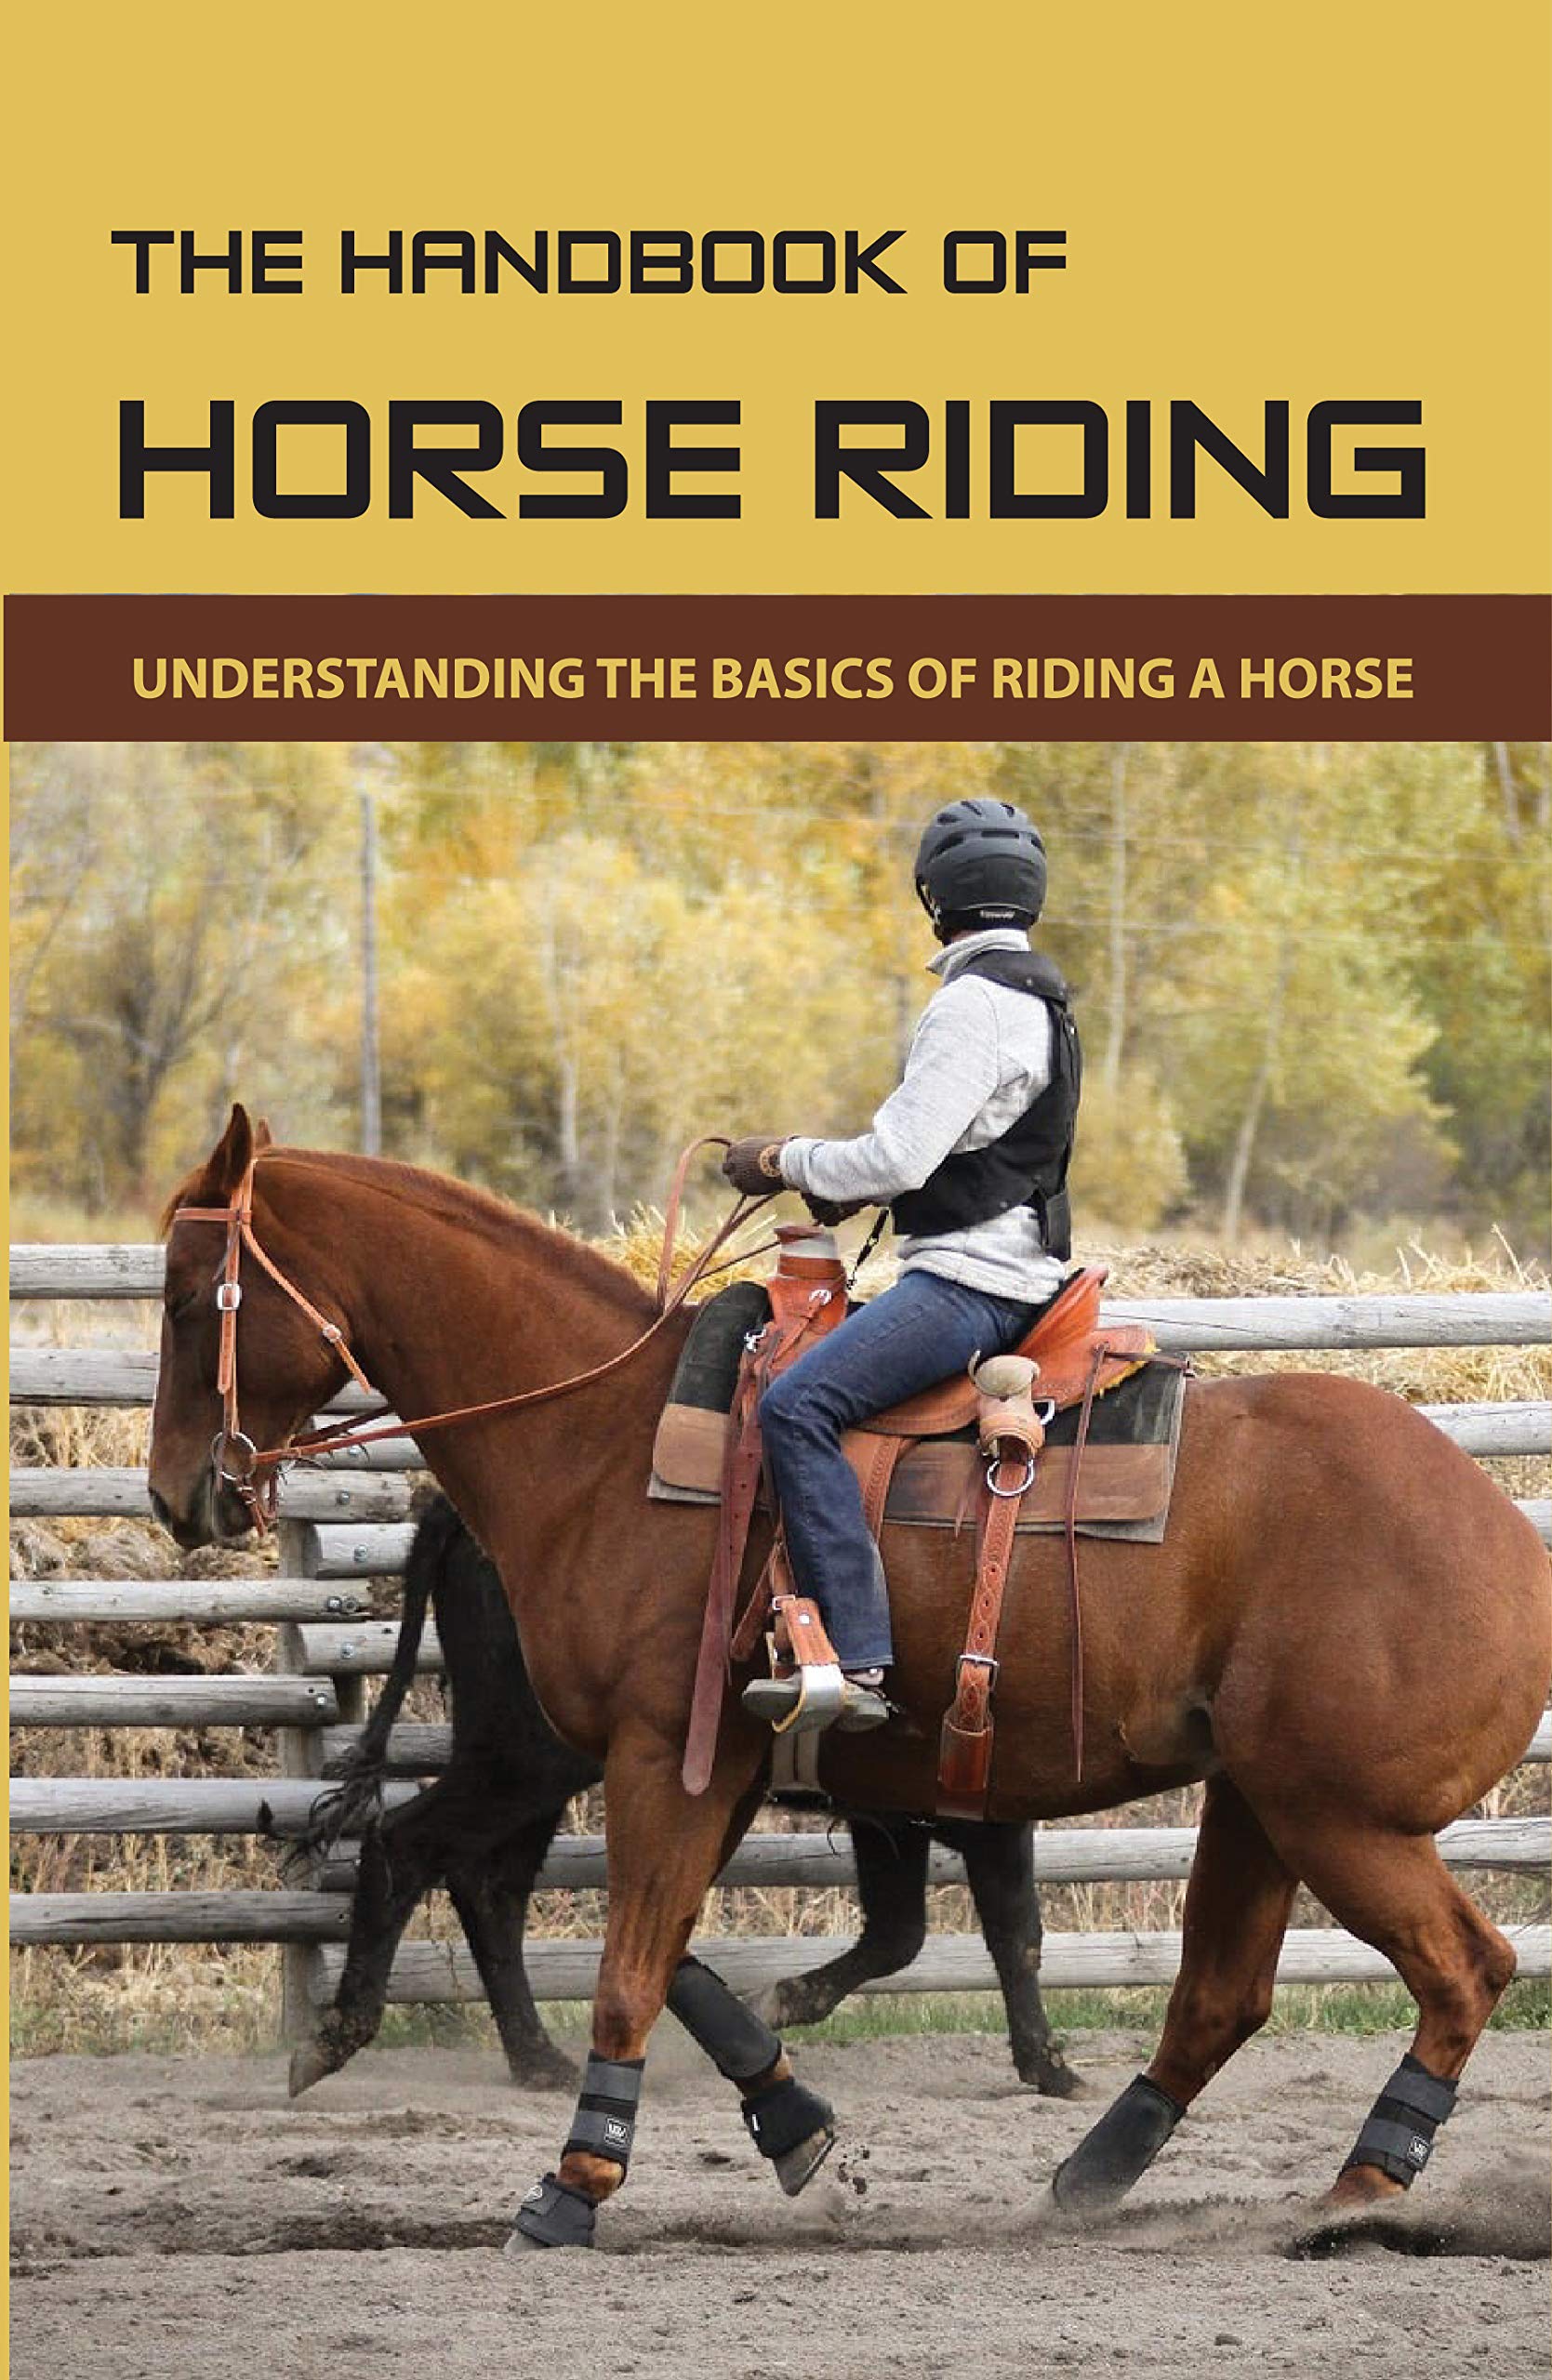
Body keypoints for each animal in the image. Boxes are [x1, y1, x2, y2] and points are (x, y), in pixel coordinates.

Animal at [291, 1492, 1079, 2099]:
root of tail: (454, 1515)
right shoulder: (982, 1822)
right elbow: (1012, 1934)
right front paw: (1049, 2066)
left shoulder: (891, 1821)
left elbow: (902, 1933)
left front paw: (780, 1999)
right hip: (521, 1754)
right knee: (409, 1843)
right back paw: (336, 2039)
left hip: (534, 1765)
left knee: (491, 1888)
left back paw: (537, 2058)